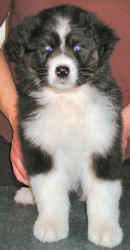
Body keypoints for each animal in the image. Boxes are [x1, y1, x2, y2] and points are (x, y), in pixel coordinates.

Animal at [4, 4, 123, 248]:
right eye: (47, 48)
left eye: (78, 47)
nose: (62, 70)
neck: (67, 99)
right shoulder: (40, 147)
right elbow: (49, 191)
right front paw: (51, 225)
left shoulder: (104, 144)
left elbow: (104, 193)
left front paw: (105, 230)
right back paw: (27, 194)